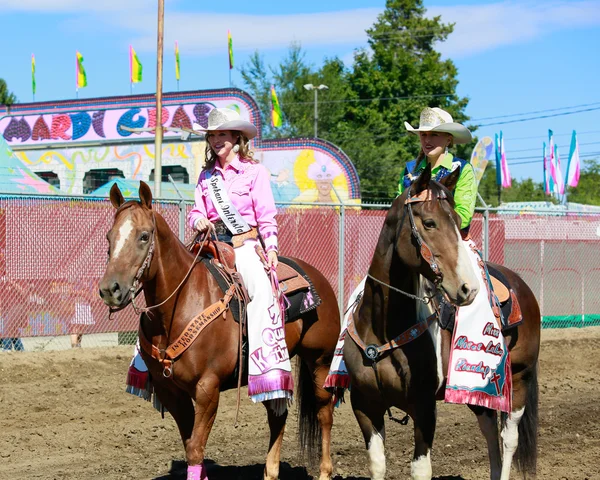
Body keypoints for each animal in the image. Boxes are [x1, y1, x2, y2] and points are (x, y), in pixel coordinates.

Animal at [101, 181, 340, 480]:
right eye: (109, 237)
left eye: (144, 236)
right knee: (278, 415)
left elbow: (195, 449)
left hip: (320, 359)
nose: (109, 290)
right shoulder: (171, 391)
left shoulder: (207, 388)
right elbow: (191, 445)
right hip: (267, 374)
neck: (180, 305)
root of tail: (318, 277)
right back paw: (270, 472)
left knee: (324, 411)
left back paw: (324, 471)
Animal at [342, 166, 544, 480]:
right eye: (429, 222)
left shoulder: (424, 407)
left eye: (458, 223)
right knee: (489, 431)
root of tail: (521, 285)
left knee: (508, 438)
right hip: (477, 387)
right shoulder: (364, 404)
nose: (467, 288)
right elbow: (377, 463)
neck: (382, 331)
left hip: (521, 377)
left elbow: (420, 469)